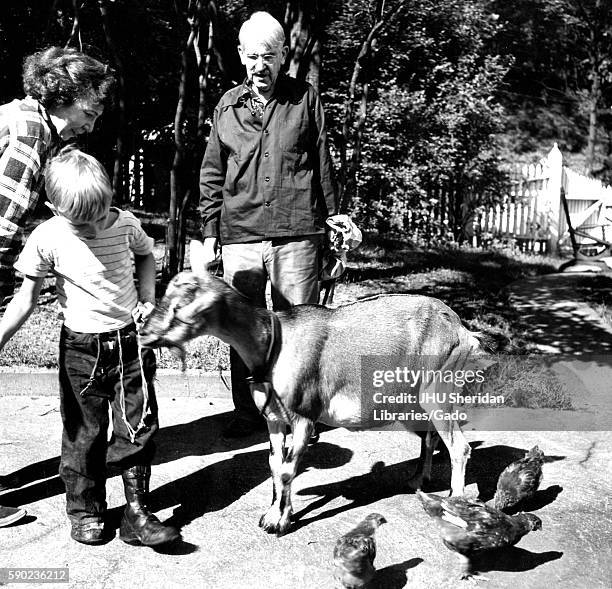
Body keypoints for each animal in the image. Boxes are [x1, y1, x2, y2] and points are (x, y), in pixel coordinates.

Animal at [140, 268, 488, 536]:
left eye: (180, 304)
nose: (144, 332)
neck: (275, 342)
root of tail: (463, 331)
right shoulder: (273, 419)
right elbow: (274, 465)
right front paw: (273, 514)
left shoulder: (304, 417)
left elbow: (287, 470)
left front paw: (279, 523)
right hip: (410, 402)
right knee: (431, 437)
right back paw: (417, 479)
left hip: (436, 389)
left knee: (459, 447)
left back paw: (456, 508)